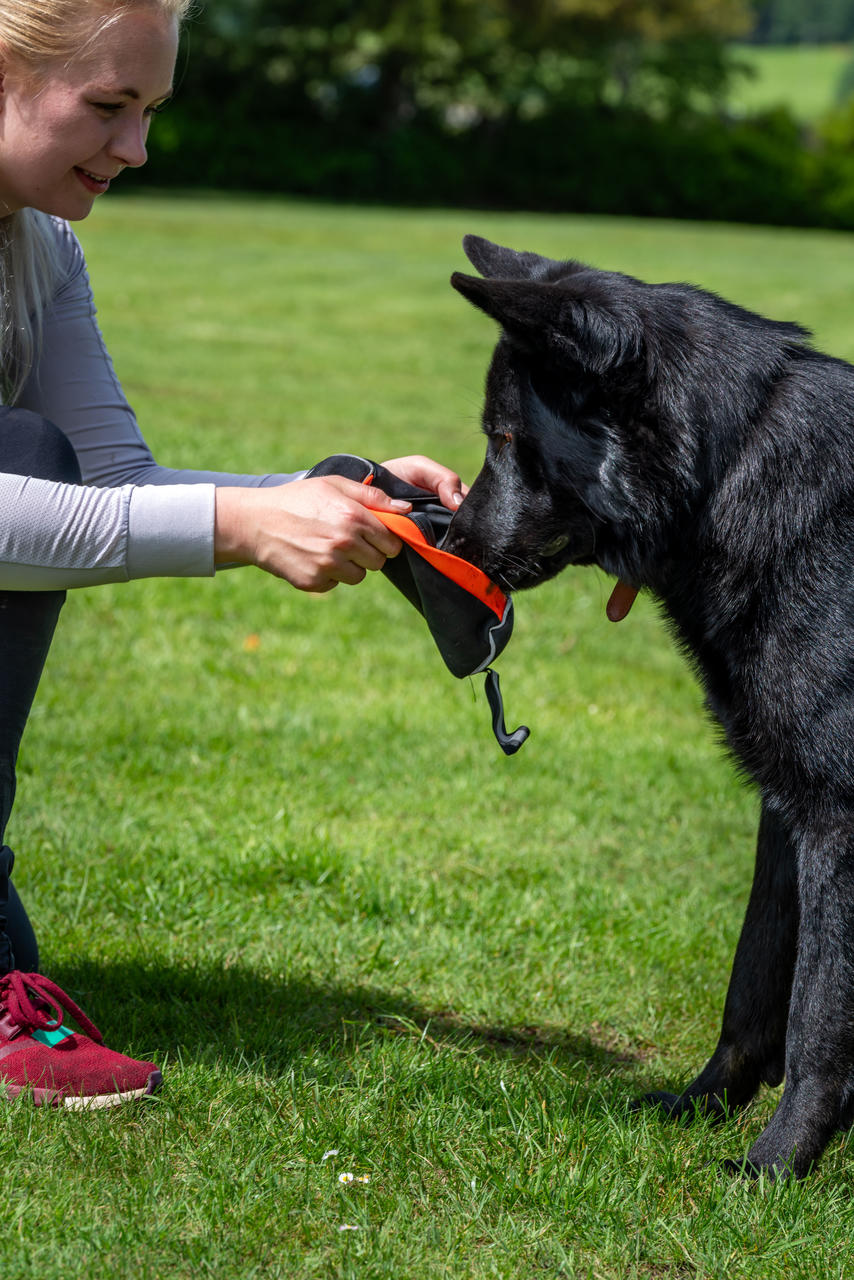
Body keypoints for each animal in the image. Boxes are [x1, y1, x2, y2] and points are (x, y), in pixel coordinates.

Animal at [445, 232, 854, 1177]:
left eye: (506, 436)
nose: (449, 539)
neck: (731, 465)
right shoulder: (786, 811)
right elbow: (753, 984)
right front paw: (707, 1104)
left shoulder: (837, 820)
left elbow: (817, 1014)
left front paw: (778, 1163)